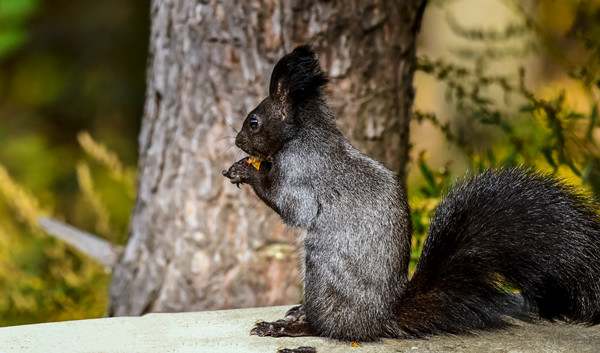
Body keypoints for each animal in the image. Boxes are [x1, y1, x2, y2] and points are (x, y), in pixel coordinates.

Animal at [221, 44, 600, 350]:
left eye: (253, 122)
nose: (237, 141)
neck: (303, 134)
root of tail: (380, 318)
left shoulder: (303, 172)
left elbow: (292, 208)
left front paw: (246, 172)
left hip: (321, 275)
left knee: (329, 328)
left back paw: (290, 327)